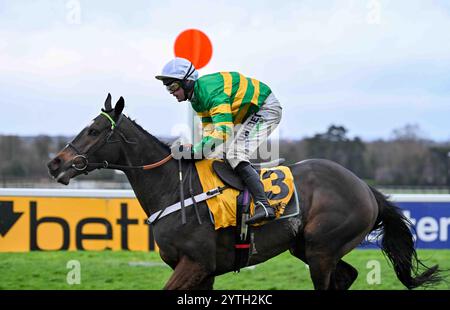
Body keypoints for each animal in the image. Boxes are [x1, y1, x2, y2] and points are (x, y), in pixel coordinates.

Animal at [47, 94, 442, 290]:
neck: (174, 189)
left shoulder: (196, 263)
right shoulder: (201, 271)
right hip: (307, 247)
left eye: (95, 130)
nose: (55, 163)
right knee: (346, 277)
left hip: (322, 249)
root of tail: (364, 187)